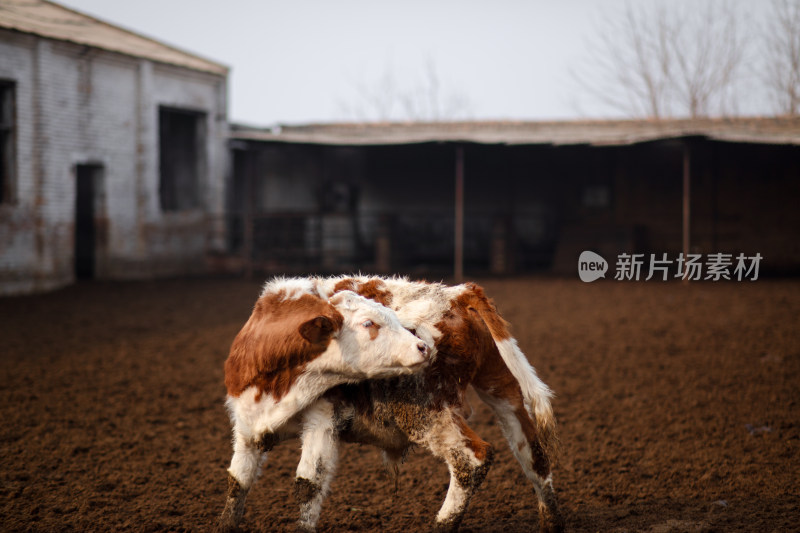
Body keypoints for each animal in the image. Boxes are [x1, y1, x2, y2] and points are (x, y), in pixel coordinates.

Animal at [219, 280, 432, 528]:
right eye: (368, 323)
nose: (423, 347)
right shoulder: (245, 423)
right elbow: (238, 481)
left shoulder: (322, 421)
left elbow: (309, 485)